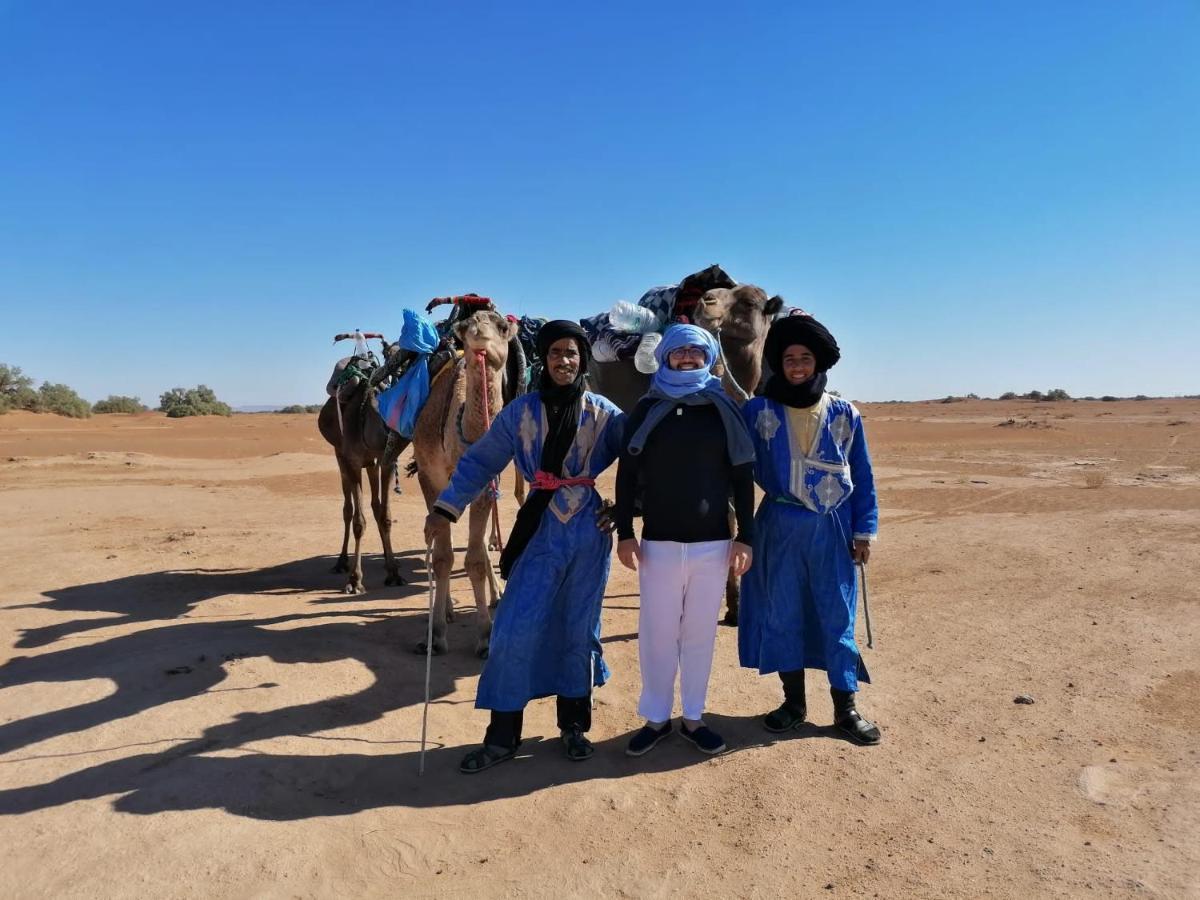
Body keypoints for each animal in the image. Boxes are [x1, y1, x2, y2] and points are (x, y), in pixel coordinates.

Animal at [410, 309, 513, 657]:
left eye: (503, 326)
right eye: (466, 326)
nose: (479, 328)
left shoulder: (485, 486)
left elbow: (476, 561)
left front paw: (485, 637)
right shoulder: (431, 478)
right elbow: (443, 558)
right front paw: (435, 635)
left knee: (479, 547)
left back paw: (496, 595)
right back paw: (445, 609)